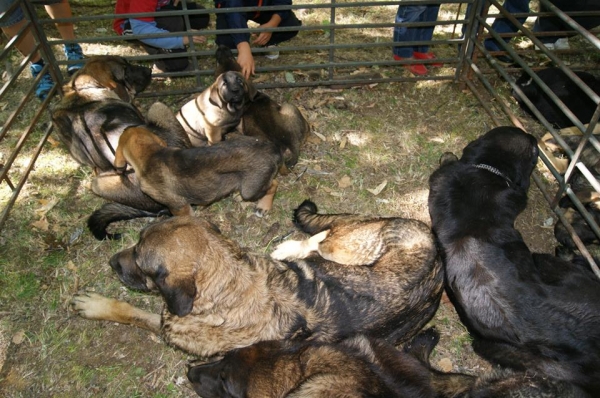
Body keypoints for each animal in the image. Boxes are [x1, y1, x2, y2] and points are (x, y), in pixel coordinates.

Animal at [71, 201, 446, 360]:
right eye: (136, 241)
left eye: (140, 260)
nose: (111, 262)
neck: (228, 287)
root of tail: (436, 252)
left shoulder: (170, 326)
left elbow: (132, 313)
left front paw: (96, 305)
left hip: (343, 245)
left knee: (320, 239)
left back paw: (290, 248)